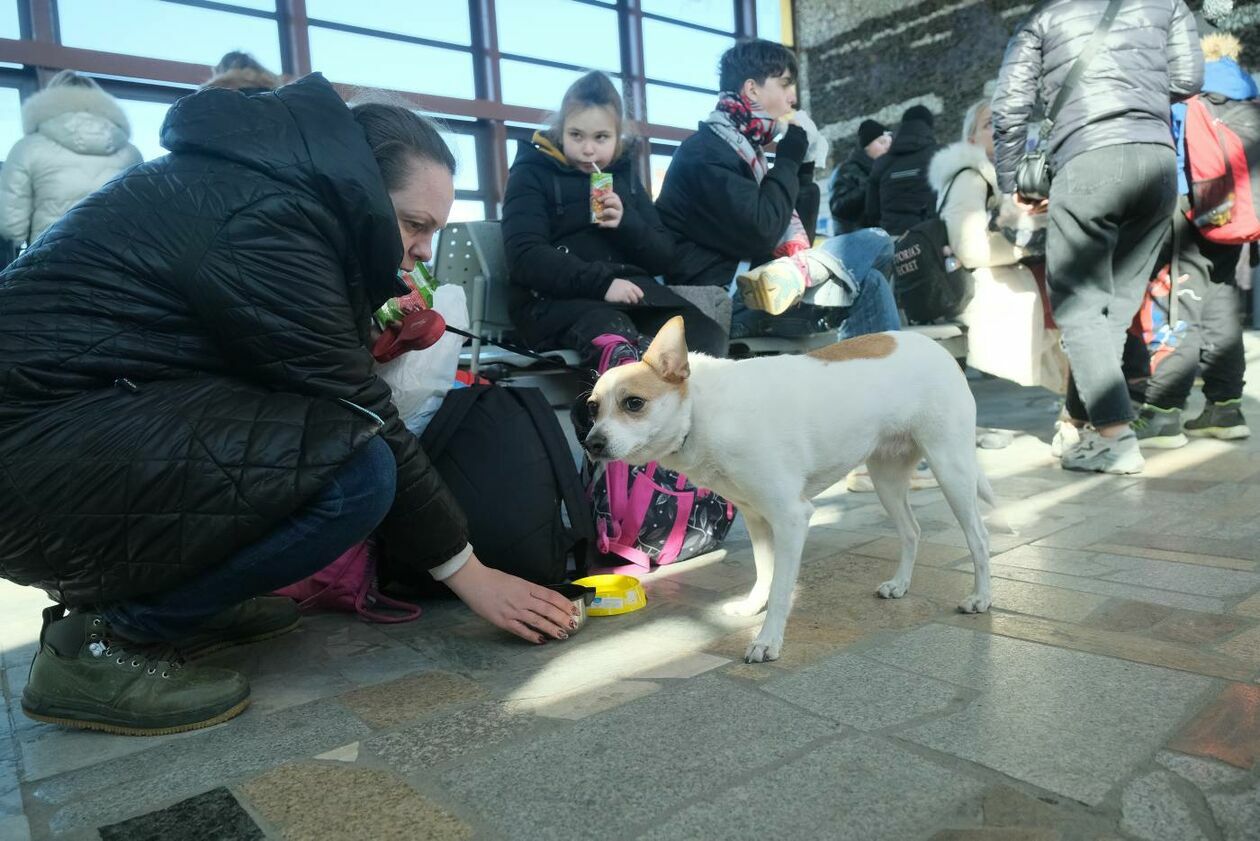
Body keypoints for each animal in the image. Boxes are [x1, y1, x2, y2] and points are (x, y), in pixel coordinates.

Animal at [579, 317, 992, 665]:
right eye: (593, 409)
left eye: (634, 403)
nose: (591, 444)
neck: (701, 412)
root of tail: (939, 349)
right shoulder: (758, 518)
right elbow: (765, 572)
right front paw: (752, 608)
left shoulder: (792, 518)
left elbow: (781, 588)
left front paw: (767, 641)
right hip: (886, 478)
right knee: (911, 531)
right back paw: (901, 585)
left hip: (951, 468)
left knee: (979, 538)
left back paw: (982, 597)